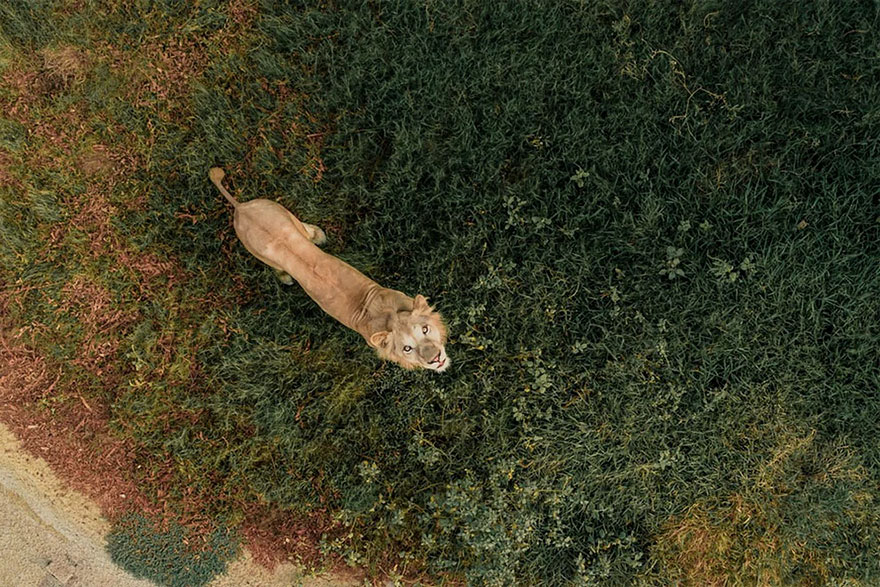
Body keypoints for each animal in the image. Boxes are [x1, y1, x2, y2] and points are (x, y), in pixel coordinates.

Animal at [209, 167, 449, 372]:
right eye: (407, 348)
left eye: (425, 329)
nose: (436, 359)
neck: (389, 316)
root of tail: (241, 208)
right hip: (261, 253)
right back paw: (287, 276)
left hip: (284, 214)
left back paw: (319, 236)